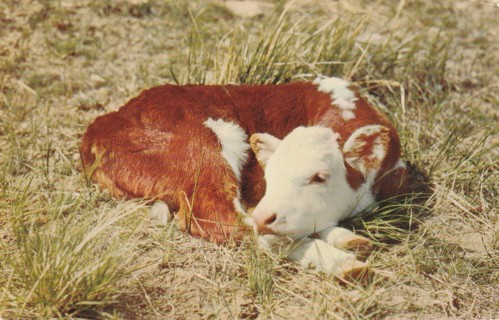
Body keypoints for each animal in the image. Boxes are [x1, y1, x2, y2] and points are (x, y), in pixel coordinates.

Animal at [81, 77, 410, 278]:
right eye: (270, 173)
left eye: (320, 177)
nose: (265, 214)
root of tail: (100, 126)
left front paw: (346, 237)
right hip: (203, 145)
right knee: (220, 218)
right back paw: (343, 263)